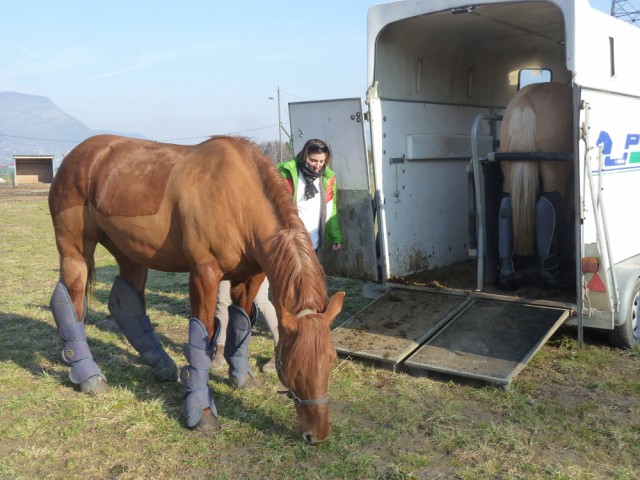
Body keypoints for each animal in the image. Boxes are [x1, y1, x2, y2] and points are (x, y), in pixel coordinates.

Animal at [48, 133, 344, 444]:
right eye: (292, 368)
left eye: (331, 360)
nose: (317, 435)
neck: (237, 197)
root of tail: (76, 155)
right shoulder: (204, 274)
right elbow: (203, 335)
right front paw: (201, 411)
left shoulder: (249, 277)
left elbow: (241, 324)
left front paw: (241, 377)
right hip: (75, 251)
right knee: (69, 302)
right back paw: (88, 376)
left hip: (131, 253)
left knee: (125, 304)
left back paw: (161, 364)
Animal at [498, 81, 572, 288]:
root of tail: (526, 102)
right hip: (554, 171)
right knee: (549, 205)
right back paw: (551, 272)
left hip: (508, 171)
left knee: (506, 206)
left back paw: (507, 274)